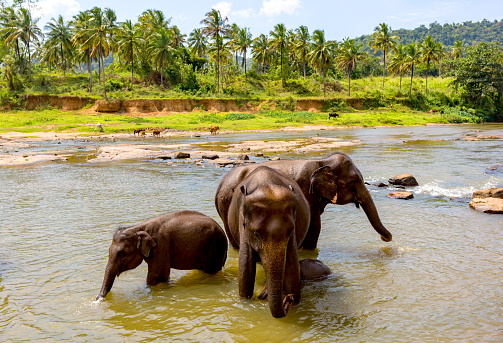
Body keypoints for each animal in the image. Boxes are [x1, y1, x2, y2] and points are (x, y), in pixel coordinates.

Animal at [95, 210, 228, 300]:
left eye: (122, 254)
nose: (97, 299)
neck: (138, 228)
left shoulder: (160, 247)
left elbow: (156, 276)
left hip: (215, 248)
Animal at [215, 153, 392, 250]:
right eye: (353, 181)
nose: (385, 239)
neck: (322, 162)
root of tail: (220, 185)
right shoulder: (306, 189)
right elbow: (314, 225)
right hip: (226, 204)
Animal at [227, 167, 312, 320]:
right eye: (255, 234)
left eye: (290, 231)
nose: (288, 298)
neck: (266, 185)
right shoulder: (243, 225)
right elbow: (246, 263)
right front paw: (245, 302)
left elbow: (292, 263)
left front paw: (296, 302)